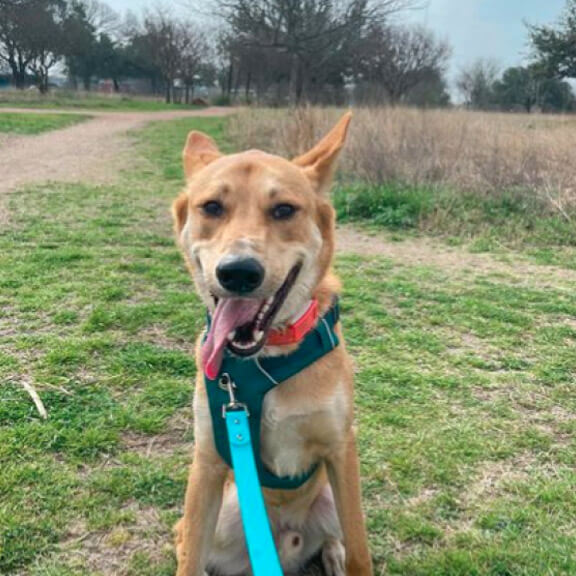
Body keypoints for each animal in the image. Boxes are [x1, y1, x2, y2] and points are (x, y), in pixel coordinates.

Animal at [171, 112, 373, 576]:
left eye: (284, 210)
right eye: (212, 207)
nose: (238, 272)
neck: (266, 361)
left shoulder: (341, 450)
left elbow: (360, 551)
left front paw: (348, 557)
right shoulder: (208, 463)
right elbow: (189, 561)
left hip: (332, 495)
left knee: (336, 537)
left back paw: (331, 554)